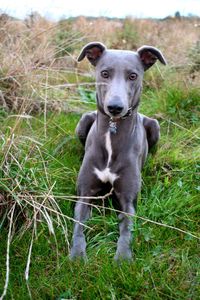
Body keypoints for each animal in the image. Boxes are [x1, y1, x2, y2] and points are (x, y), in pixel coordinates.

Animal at [69, 41, 166, 260]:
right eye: (105, 73)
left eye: (133, 76)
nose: (115, 107)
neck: (112, 135)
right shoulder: (85, 194)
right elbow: (78, 224)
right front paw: (77, 255)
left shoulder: (128, 200)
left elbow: (127, 228)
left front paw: (122, 258)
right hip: (84, 120)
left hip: (154, 125)